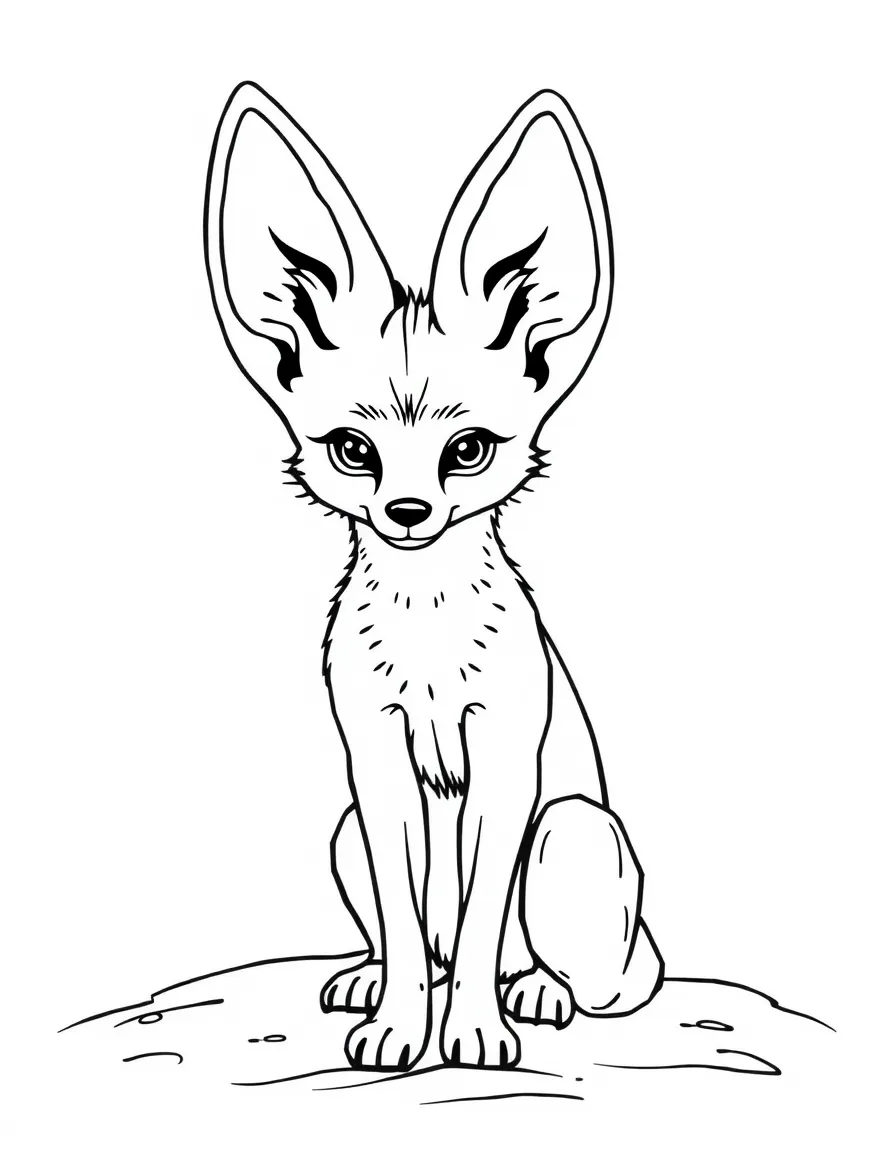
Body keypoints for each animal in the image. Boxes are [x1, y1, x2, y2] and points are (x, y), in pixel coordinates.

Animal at [205, 83, 663, 1072]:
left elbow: (487, 911)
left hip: (570, 830)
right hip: (345, 830)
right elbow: (409, 922)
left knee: (587, 978)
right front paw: (398, 1026)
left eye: (468, 450)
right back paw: (370, 975)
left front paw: (475, 1031)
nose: (409, 513)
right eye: (353, 451)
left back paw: (535, 990)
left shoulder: (504, 757)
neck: (426, 637)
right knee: (423, 933)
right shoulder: (374, 760)